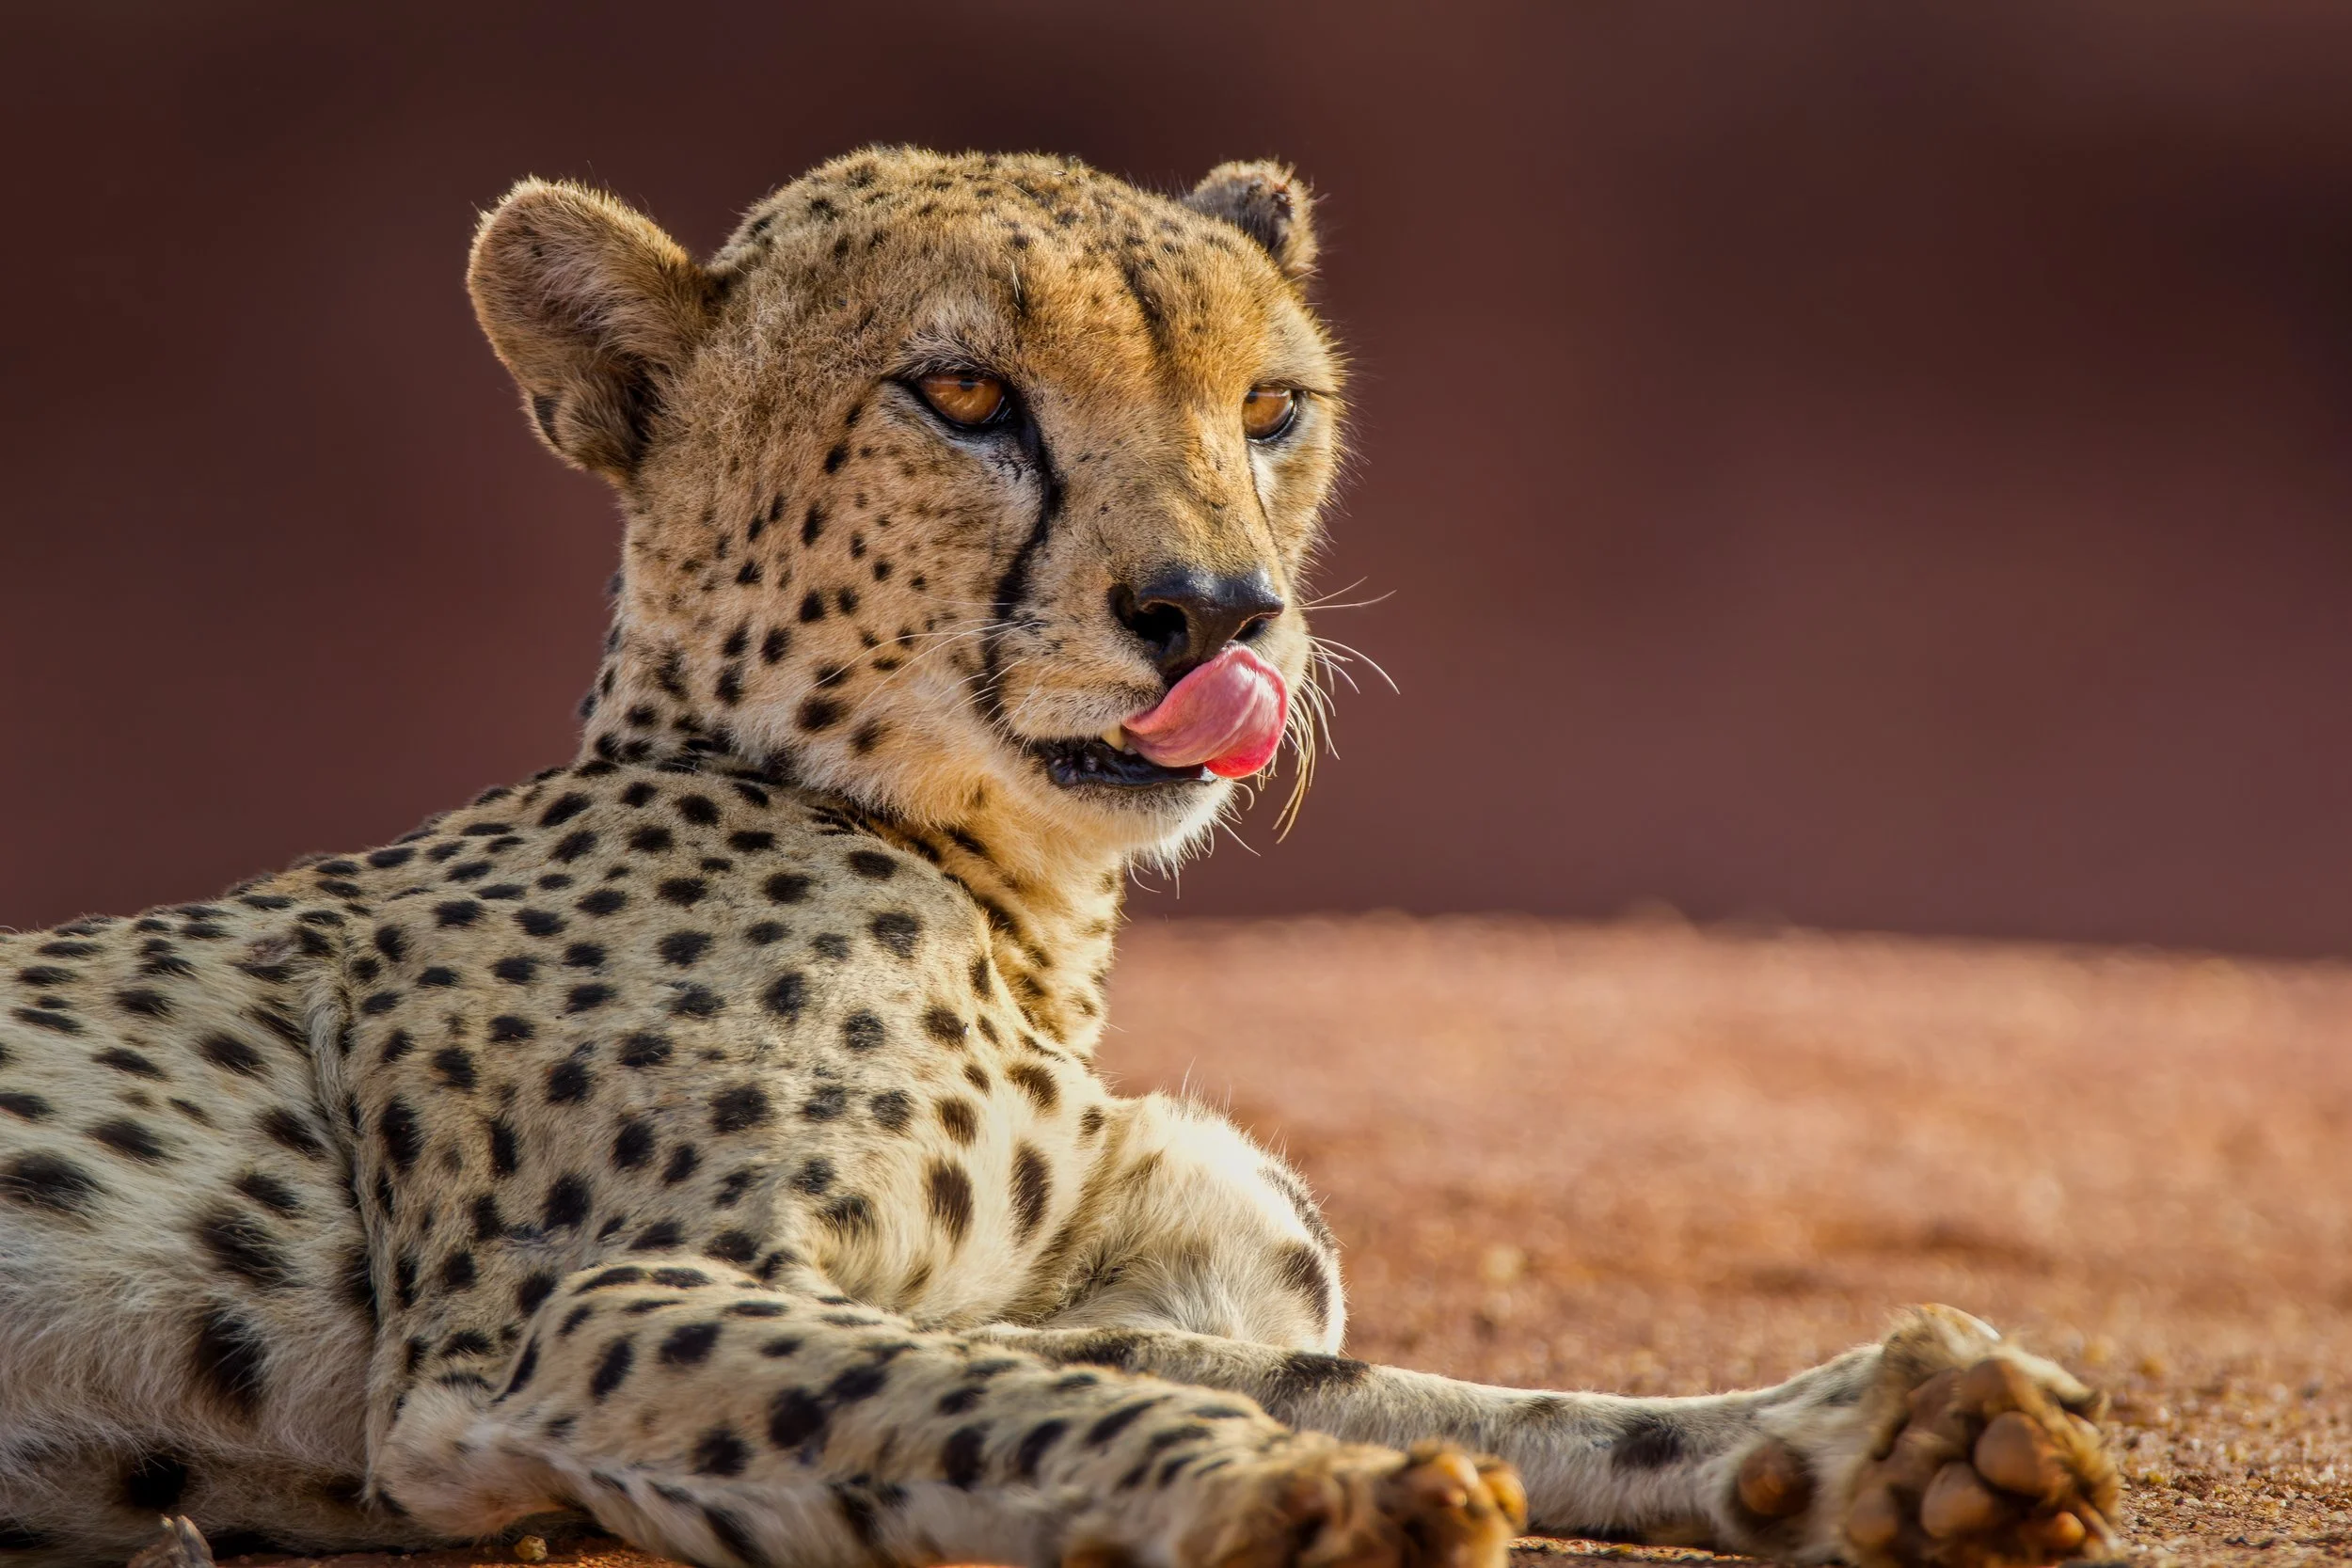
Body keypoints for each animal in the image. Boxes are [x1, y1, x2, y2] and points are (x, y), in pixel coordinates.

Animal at [0, 148, 2122, 1568]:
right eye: (961, 395)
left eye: (1270, 407)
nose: (1216, 614)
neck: (1014, 900)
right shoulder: (538, 1340)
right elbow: (1024, 1401)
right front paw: (1313, 1496)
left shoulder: (1088, 1282)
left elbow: (1342, 1375)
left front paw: (1879, 1435)